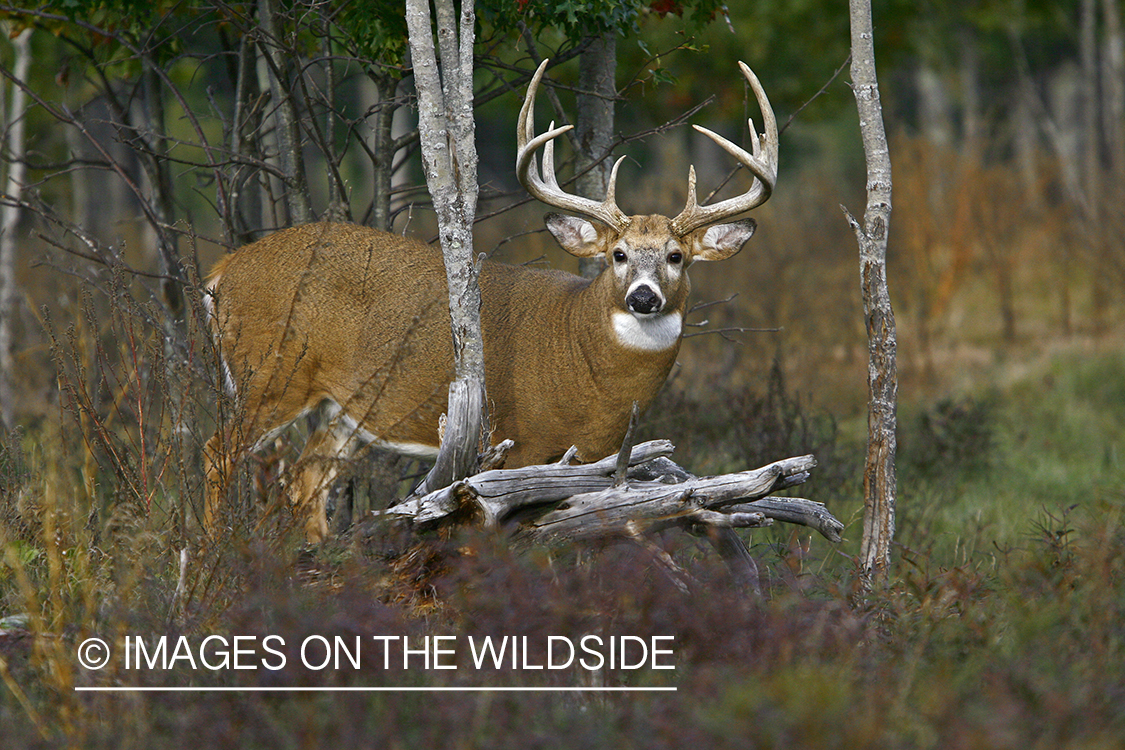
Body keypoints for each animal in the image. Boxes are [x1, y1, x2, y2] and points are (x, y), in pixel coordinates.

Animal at [204, 57, 774, 539]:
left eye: (677, 256)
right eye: (618, 253)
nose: (643, 297)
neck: (584, 361)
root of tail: (221, 272)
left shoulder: (597, 458)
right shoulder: (520, 440)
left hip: (343, 407)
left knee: (306, 480)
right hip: (269, 371)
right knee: (219, 452)